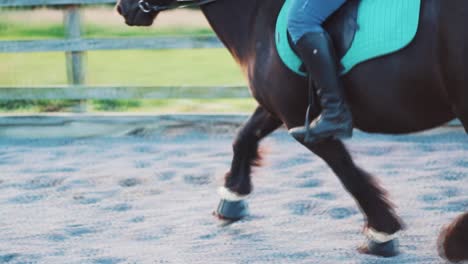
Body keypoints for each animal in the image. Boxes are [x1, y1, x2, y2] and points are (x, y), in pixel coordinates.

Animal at [114, 0, 468, 258]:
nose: (122, 8)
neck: (258, 14)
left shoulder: (301, 120)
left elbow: (347, 173)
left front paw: (381, 233)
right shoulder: (277, 107)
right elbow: (244, 136)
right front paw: (232, 197)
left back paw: (453, 240)